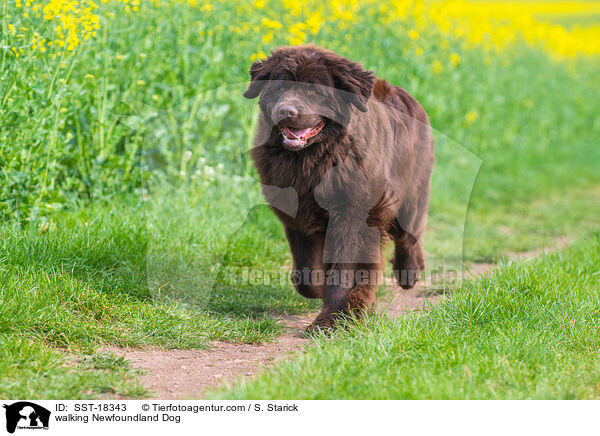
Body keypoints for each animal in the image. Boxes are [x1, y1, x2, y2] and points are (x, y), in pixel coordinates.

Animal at [244, 45, 436, 330]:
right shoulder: (296, 217)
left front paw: (331, 321)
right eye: (280, 87)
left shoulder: (352, 216)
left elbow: (345, 271)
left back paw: (408, 273)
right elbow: (306, 273)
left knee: (408, 235)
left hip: (411, 195)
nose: (286, 111)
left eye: (314, 91)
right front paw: (323, 294)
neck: (314, 160)